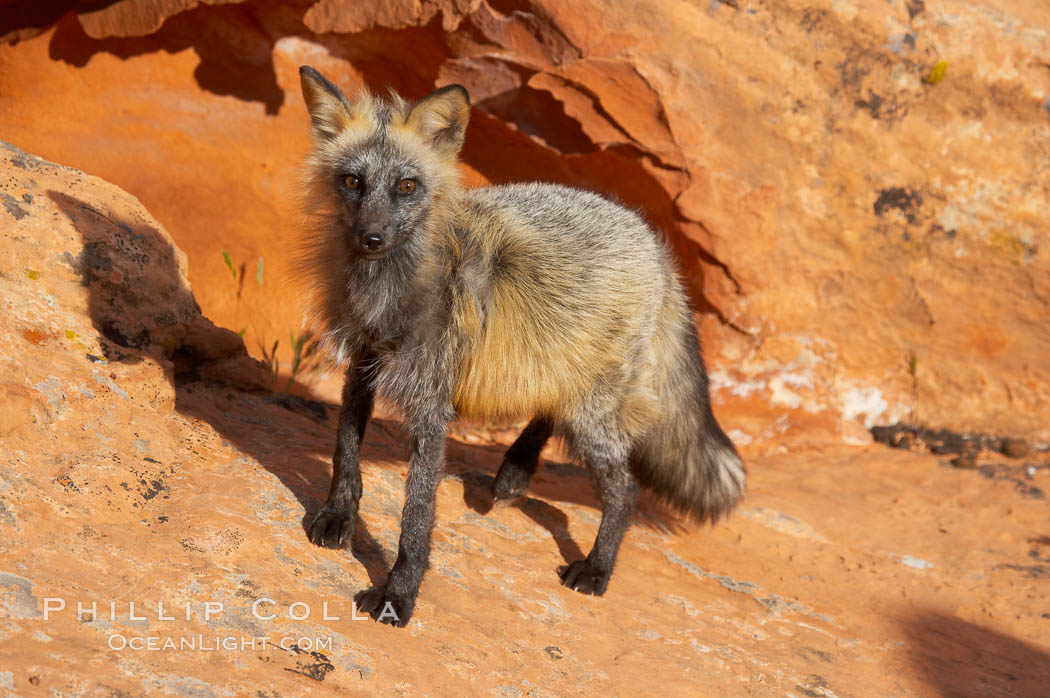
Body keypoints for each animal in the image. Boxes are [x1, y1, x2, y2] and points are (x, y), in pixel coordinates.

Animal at [294, 65, 747, 621]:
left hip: (593, 412)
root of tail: (653, 240)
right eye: (352, 181)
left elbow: (416, 516)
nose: (370, 238)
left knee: (625, 489)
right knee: (550, 409)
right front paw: (338, 515)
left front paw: (399, 595)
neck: (390, 293)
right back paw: (514, 473)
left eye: (407, 185)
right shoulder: (363, 363)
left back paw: (596, 568)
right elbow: (345, 451)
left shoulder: (430, 405)